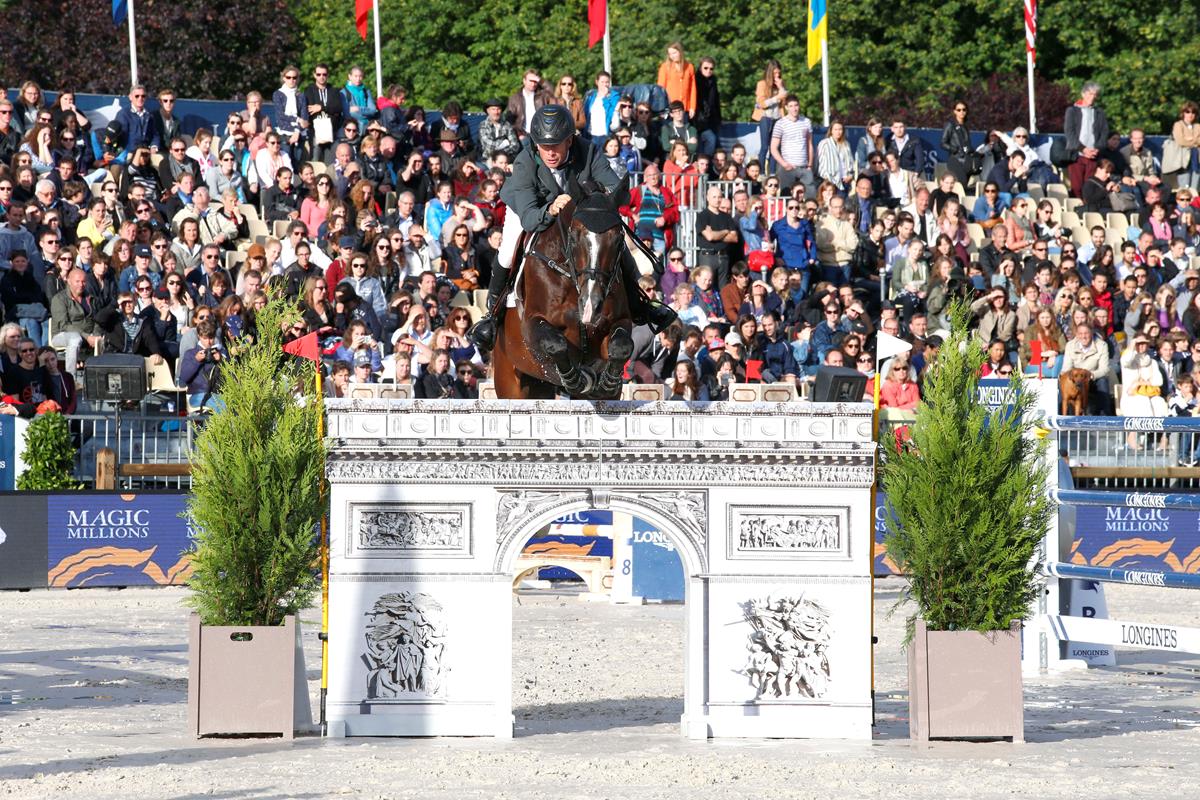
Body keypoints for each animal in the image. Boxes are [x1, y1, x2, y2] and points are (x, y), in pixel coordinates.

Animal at [489, 183, 638, 398]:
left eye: (619, 239)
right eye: (574, 237)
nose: (591, 305)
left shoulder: (620, 320)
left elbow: (621, 346)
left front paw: (606, 384)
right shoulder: (531, 326)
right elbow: (556, 344)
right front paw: (576, 379)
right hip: (510, 379)